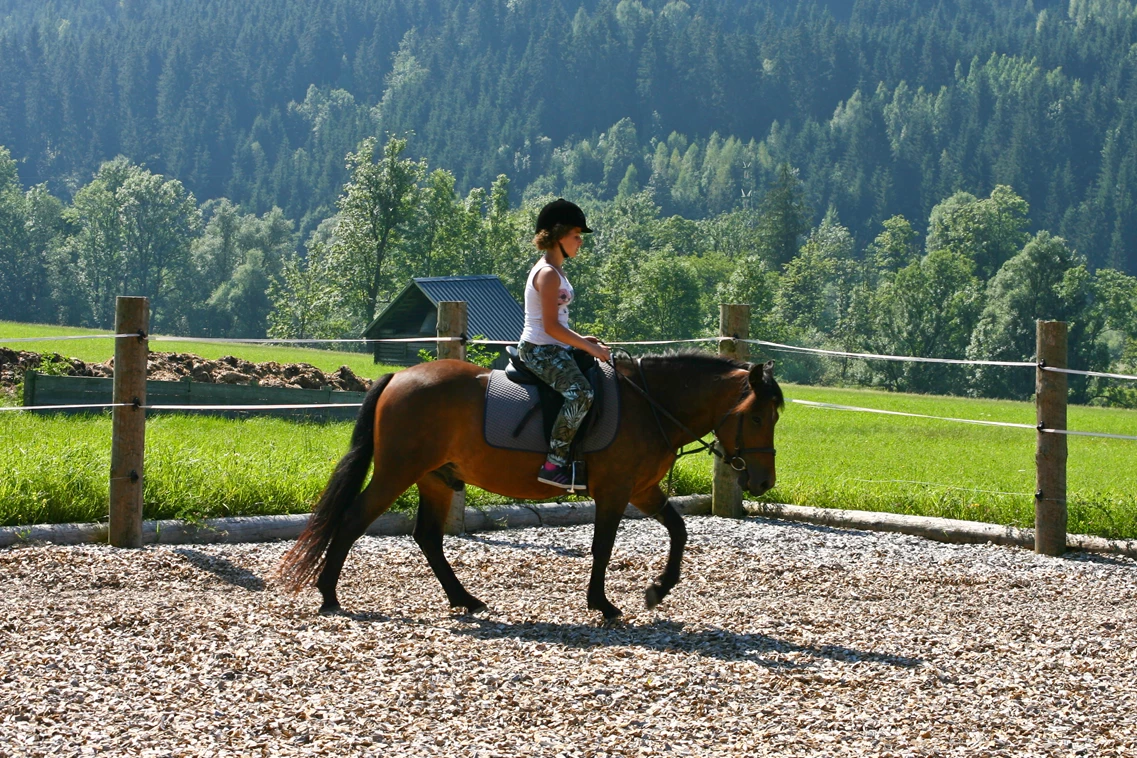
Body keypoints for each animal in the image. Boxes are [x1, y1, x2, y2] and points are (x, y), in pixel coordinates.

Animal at [279, 352, 786, 618]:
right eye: (758, 417)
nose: (763, 482)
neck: (650, 405)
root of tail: (398, 378)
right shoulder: (616, 490)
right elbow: (603, 547)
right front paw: (602, 604)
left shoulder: (642, 489)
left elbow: (679, 531)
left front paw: (658, 589)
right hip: (396, 471)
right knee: (352, 520)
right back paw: (328, 595)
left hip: (435, 478)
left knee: (427, 538)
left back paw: (465, 599)